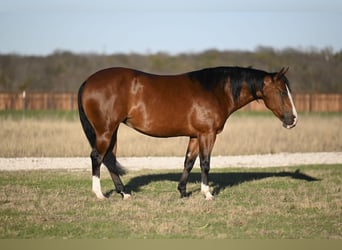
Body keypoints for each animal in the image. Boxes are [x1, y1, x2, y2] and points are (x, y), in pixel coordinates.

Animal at [77, 65, 296, 200]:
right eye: (282, 92)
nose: (293, 120)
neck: (215, 91)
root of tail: (88, 81)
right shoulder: (207, 134)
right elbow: (205, 163)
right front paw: (207, 193)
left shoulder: (194, 136)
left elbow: (188, 162)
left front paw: (182, 192)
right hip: (105, 131)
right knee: (97, 157)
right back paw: (99, 194)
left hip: (112, 131)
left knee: (109, 158)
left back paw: (124, 193)